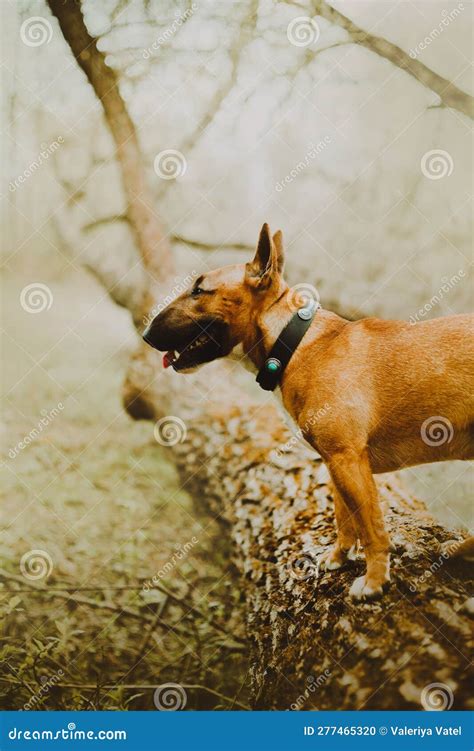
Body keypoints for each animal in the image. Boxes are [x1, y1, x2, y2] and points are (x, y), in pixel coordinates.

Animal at [143, 222, 472, 600]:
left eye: (199, 290)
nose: (146, 334)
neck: (294, 344)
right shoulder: (338, 463)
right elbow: (344, 519)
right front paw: (338, 558)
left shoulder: (347, 458)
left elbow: (372, 528)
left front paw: (374, 581)